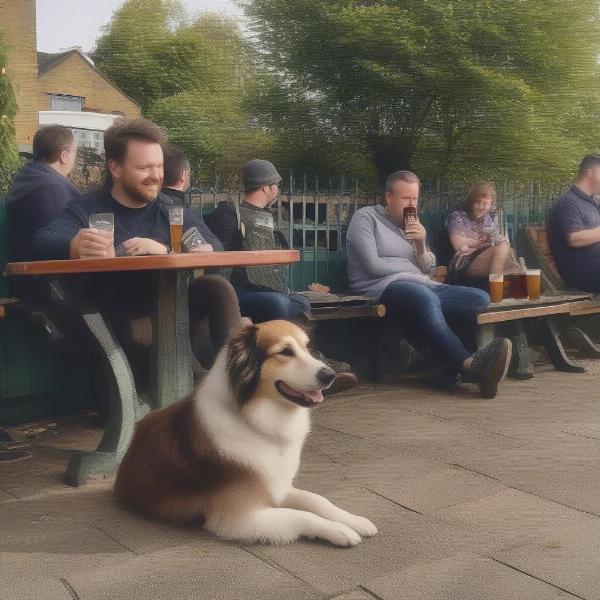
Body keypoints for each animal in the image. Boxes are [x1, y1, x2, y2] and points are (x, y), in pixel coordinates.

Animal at [115, 322, 378, 548]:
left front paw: (354, 520)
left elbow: (316, 499)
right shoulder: (241, 517)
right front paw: (339, 530)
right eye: (285, 352)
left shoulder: (275, 483)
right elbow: (300, 514)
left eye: (307, 347)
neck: (252, 418)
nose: (330, 375)